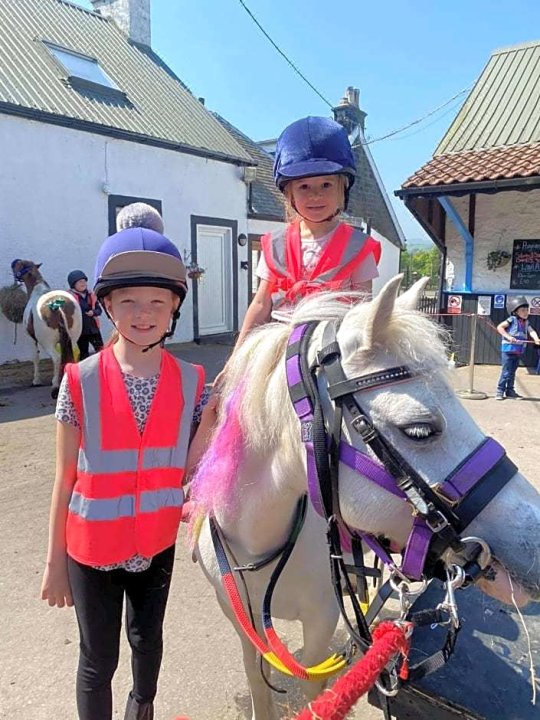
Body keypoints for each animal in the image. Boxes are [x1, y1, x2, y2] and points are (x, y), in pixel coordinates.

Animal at [11, 258, 82, 396]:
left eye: (19, 265)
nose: (13, 263)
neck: (38, 291)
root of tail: (57, 304)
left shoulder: (32, 339)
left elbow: (35, 357)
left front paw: (36, 381)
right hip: (73, 338)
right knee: (75, 354)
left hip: (47, 342)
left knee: (56, 358)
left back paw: (55, 386)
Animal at [191, 278, 540, 720]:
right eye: (420, 429)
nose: (536, 537)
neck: (261, 542)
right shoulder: (240, 622)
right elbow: (257, 680)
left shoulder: (320, 622)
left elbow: (315, 687)